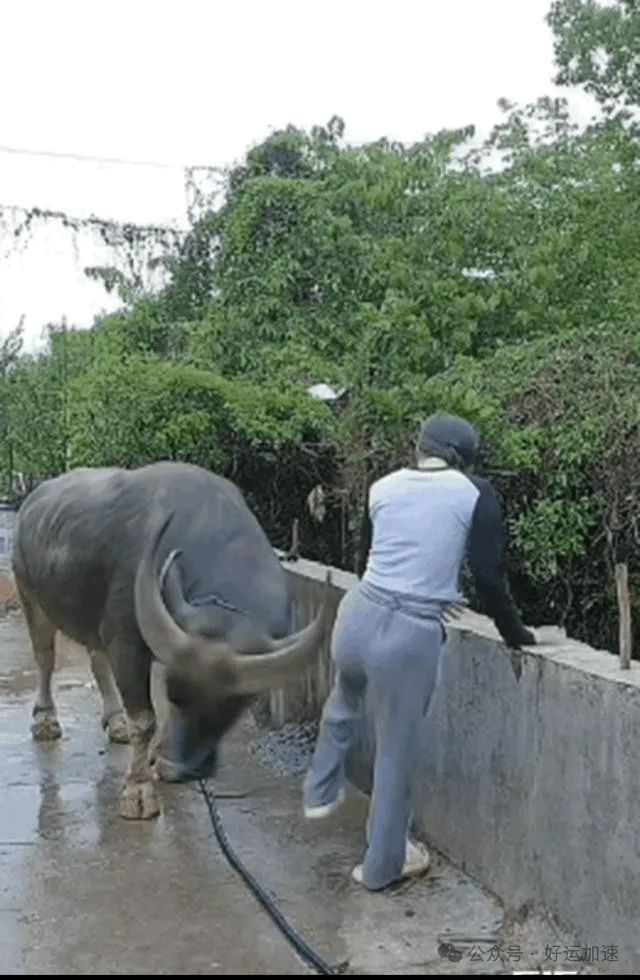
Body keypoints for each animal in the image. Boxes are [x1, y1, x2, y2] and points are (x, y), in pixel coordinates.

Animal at [11, 460, 330, 820]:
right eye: (178, 696)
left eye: (231, 706)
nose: (186, 770)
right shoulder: (127, 643)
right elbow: (145, 719)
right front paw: (138, 791)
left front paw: (159, 759)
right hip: (30, 595)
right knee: (44, 656)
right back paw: (46, 720)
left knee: (96, 658)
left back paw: (115, 721)